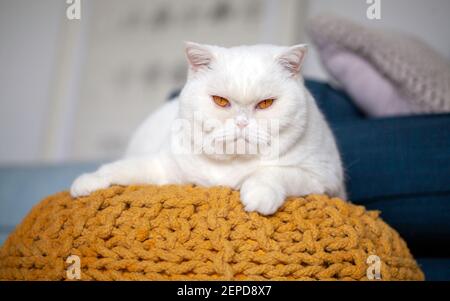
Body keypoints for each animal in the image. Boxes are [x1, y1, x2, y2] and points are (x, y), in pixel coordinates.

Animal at [71, 42, 344, 216]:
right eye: (220, 101)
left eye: (266, 104)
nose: (241, 122)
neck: (231, 165)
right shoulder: (162, 167)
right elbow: (121, 168)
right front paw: (87, 182)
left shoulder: (323, 181)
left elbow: (275, 172)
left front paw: (258, 194)